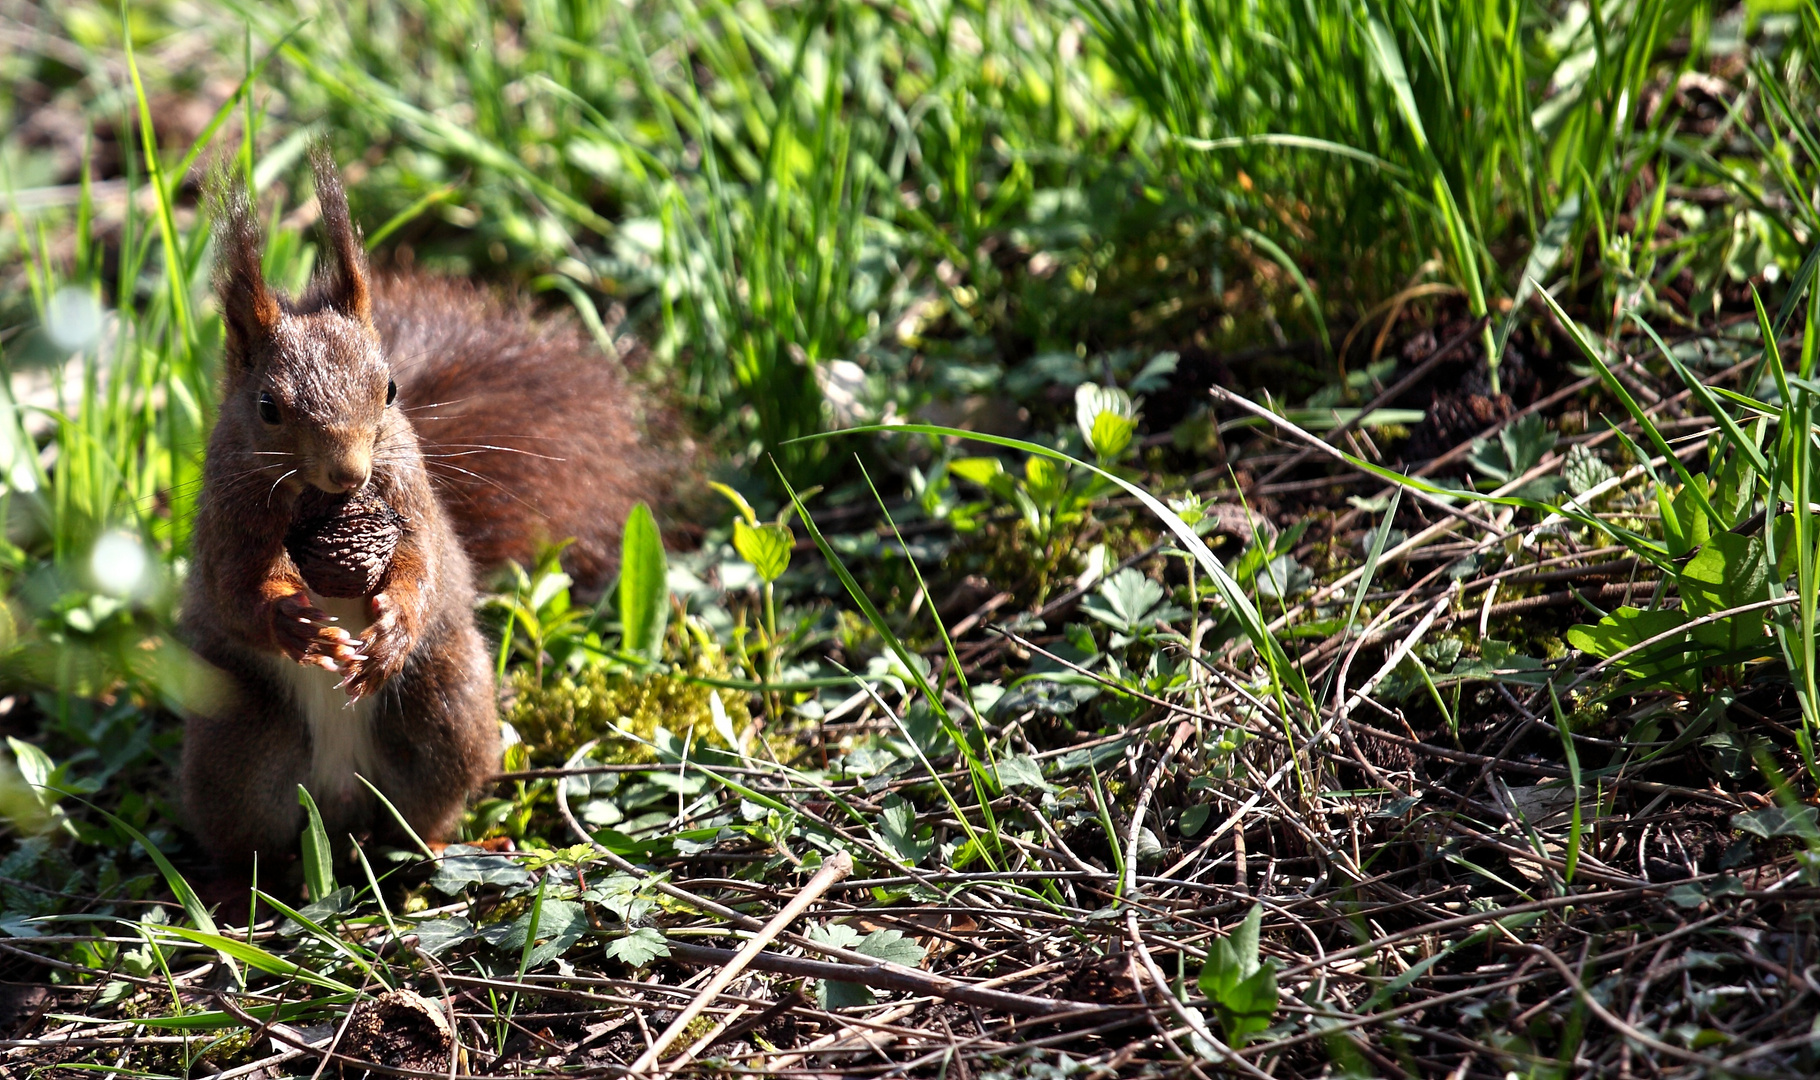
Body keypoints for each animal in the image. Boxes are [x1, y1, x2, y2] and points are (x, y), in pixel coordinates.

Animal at [181, 147, 677, 863]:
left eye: (390, 390)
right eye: (268, 409)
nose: (348, 472)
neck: (321, 505)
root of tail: (340, 798)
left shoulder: (412, 503)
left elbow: (423, 565)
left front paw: (394, 625)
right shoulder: (228, 521)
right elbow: (235, 595)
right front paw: (293, 622)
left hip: (446, 710)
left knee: (426, 808)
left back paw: (446, 847)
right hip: (234, 744)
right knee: (248, 834)